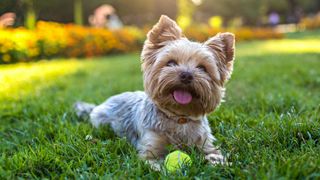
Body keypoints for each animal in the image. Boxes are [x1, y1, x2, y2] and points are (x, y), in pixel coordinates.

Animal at [75, 15, 235, 170]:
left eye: (202, 68)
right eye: (171, 63)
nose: (186, 75)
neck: (179, 117)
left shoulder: (205, 142)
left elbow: (213, 153)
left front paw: (219, 162)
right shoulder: (151, 146)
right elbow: (155, 163)